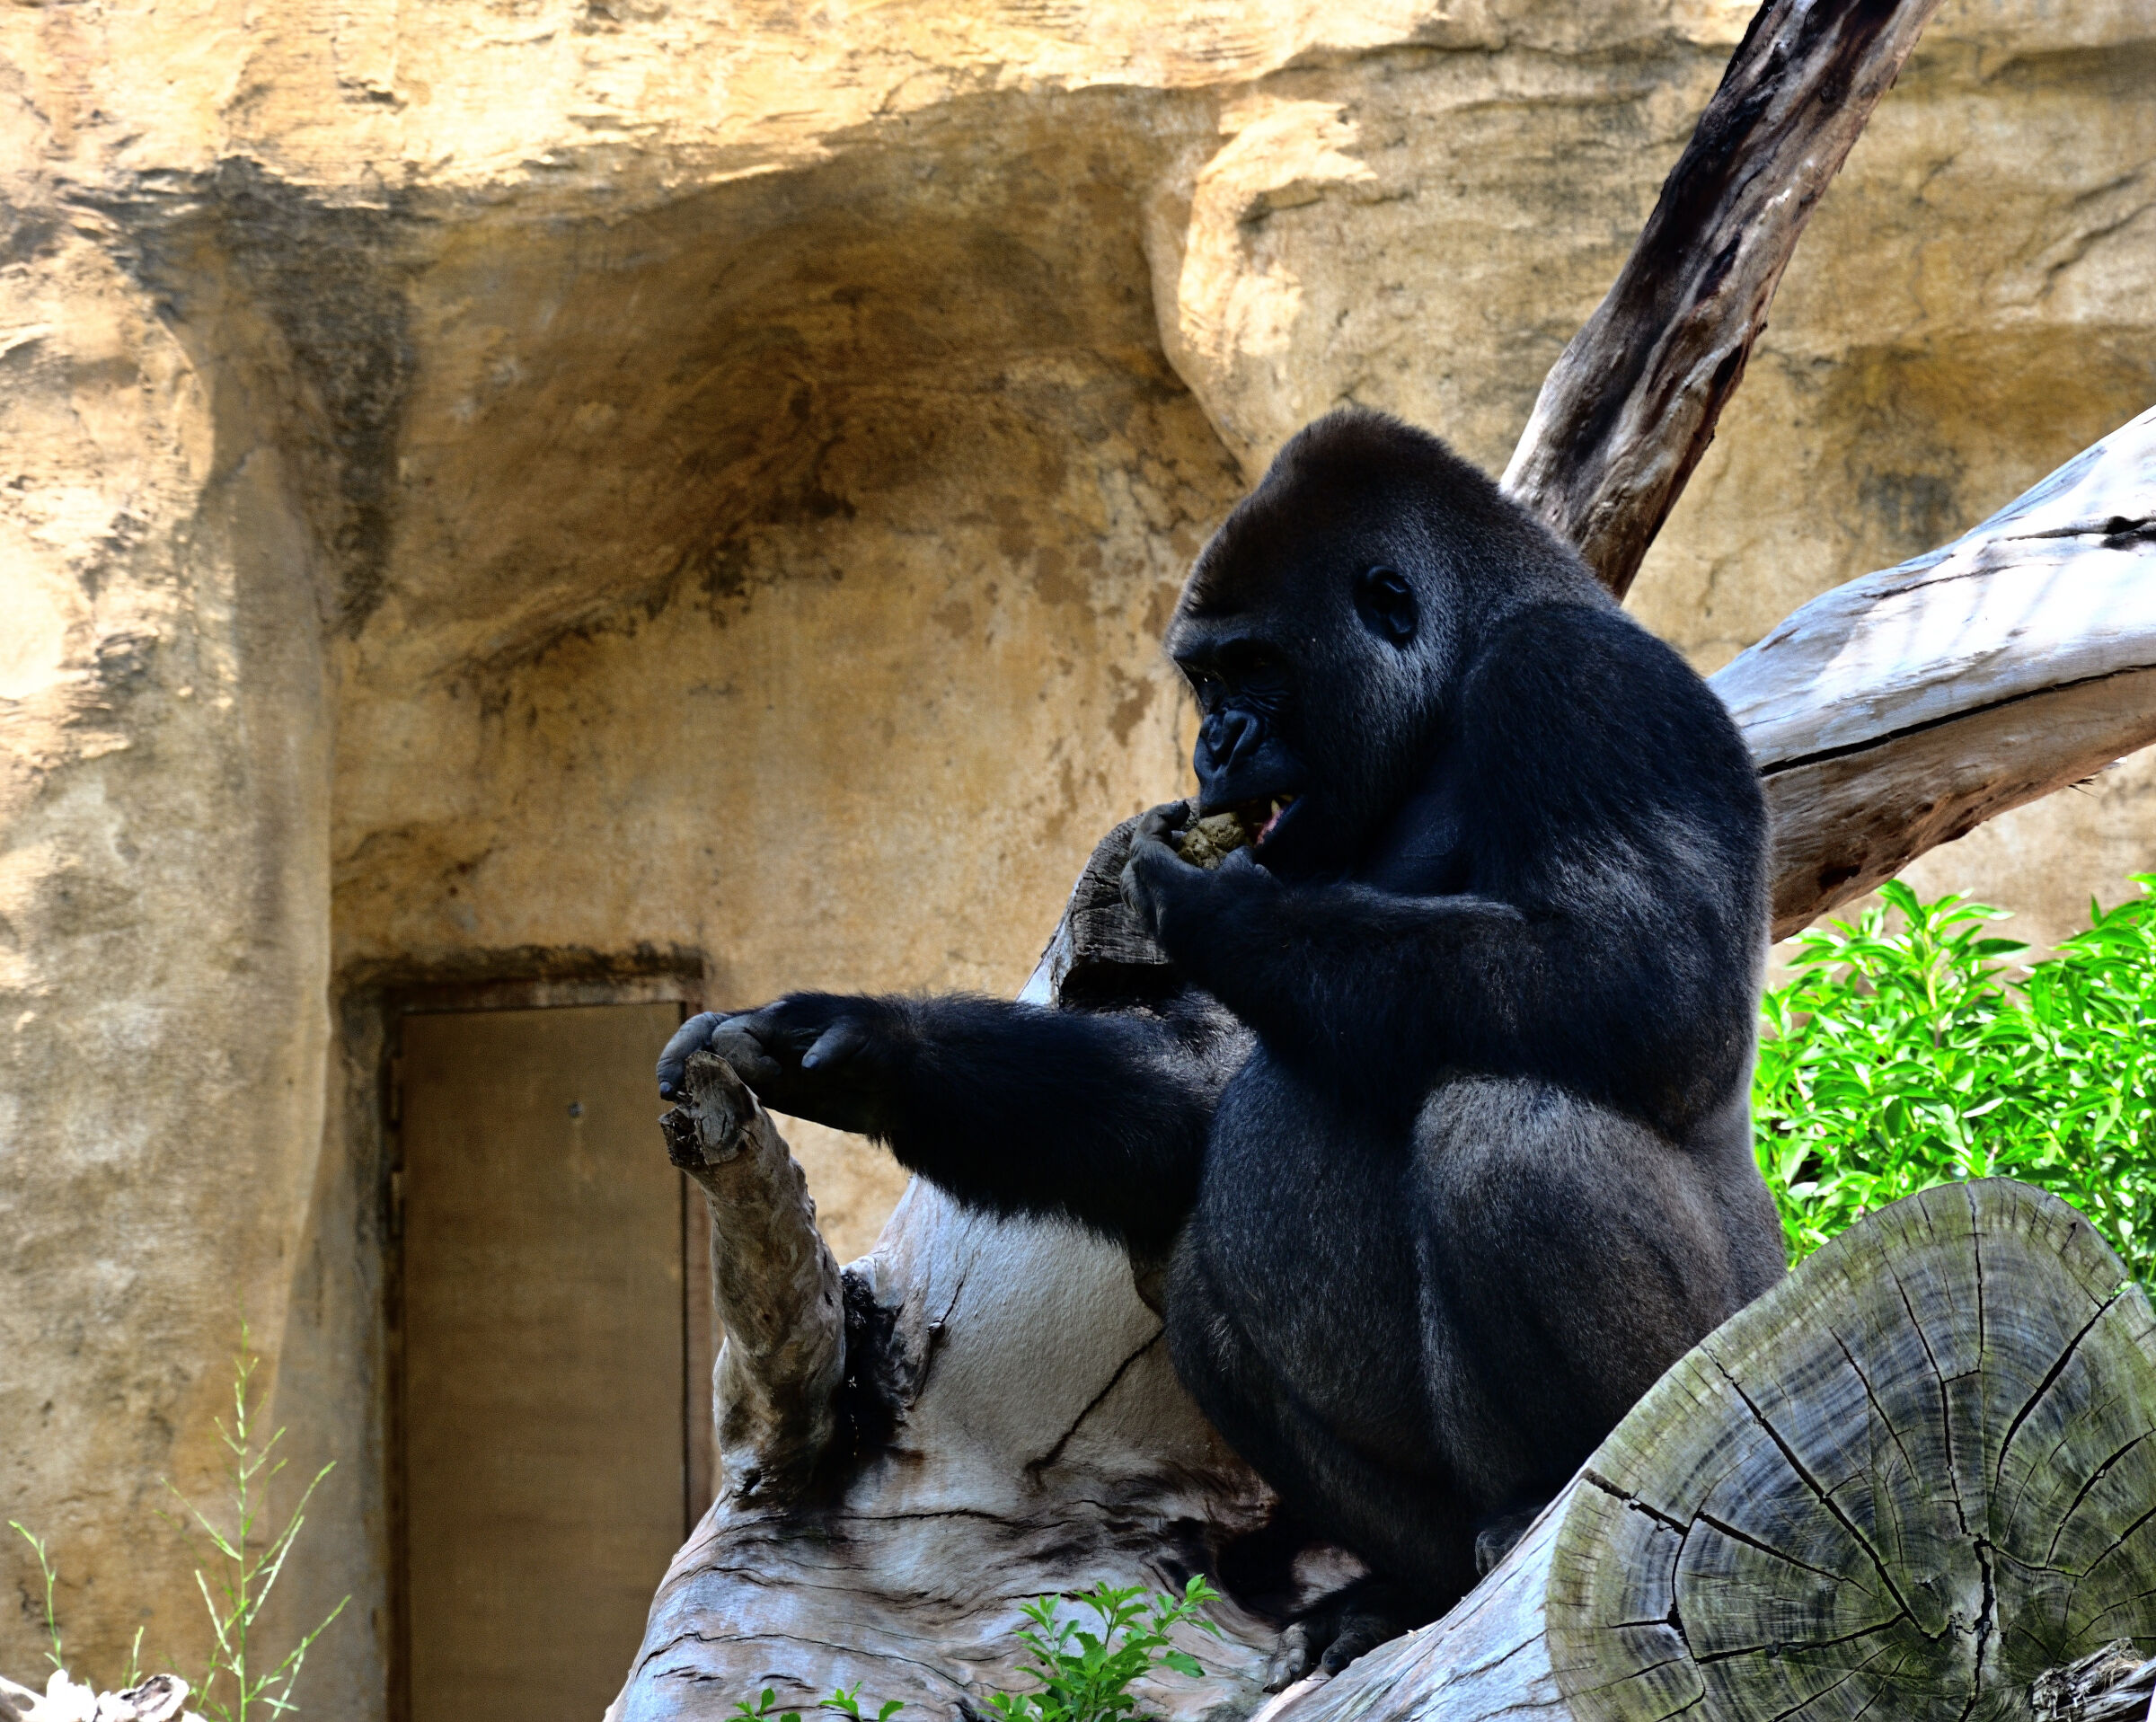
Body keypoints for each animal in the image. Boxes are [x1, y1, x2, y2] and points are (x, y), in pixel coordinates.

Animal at [658, 406, 1788, 1682]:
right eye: (1205, 679)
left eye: (1254, 670)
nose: (1214, 743)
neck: (1448, 692)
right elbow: (1195, 1102)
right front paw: (861, 1048)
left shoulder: (1580, 683)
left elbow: (1651, 992)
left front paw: (1217, 908)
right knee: (1203, 1276)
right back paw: (1412, 1587)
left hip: (1718, 1379)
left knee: (1510, 1123)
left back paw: (1553, 1485)